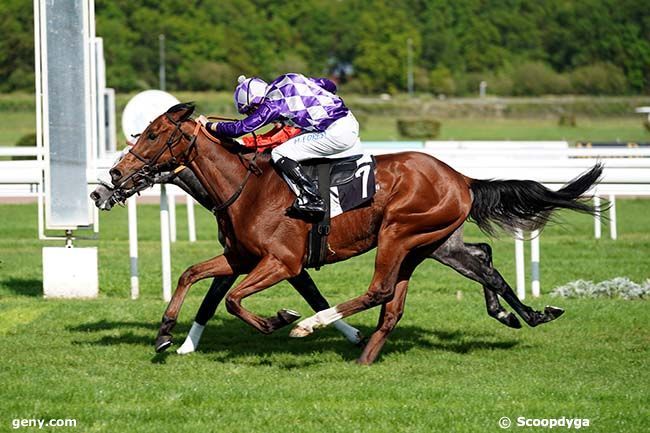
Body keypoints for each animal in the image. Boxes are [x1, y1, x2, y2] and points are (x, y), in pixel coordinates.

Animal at [105, 103, 596, 362]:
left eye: (153, 135)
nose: (113, 174)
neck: (246, 187)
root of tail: (461, 177)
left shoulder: (282, 262)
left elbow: (233, 299)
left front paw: (278, 319)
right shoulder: (241, 257)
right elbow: (191, 275)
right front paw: (166, 334)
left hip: (399, 234)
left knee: (382, 289)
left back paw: (313, 328)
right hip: (435, 243)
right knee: (479, 262)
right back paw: (523, 314)